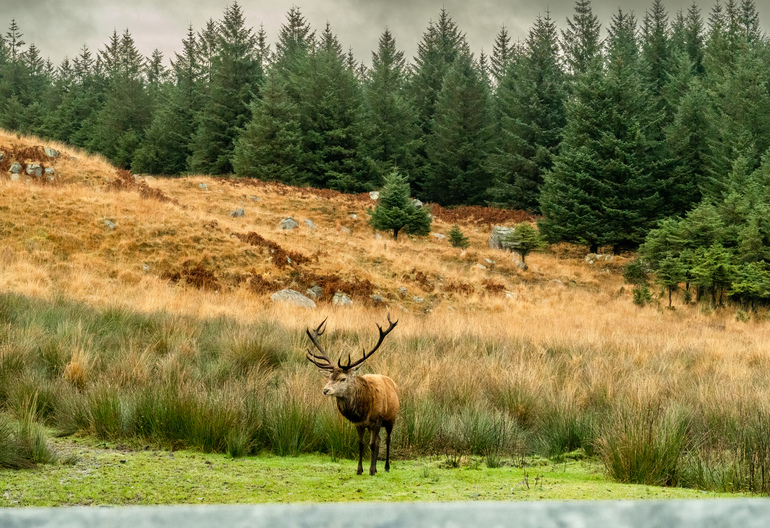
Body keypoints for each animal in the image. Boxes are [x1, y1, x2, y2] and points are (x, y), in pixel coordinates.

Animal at [305, 314, 399, 476]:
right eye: (329, 377)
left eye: (343, 378)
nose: (325, 390)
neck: (363, 410)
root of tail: (392, 382)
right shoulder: (359, 424)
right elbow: (361, 444)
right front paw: (360, 470)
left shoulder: (376, 421)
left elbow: (372, 444)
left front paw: (371, 471)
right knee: (379, 440)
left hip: (391, 419)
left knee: (387, 440)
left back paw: (386, 467)